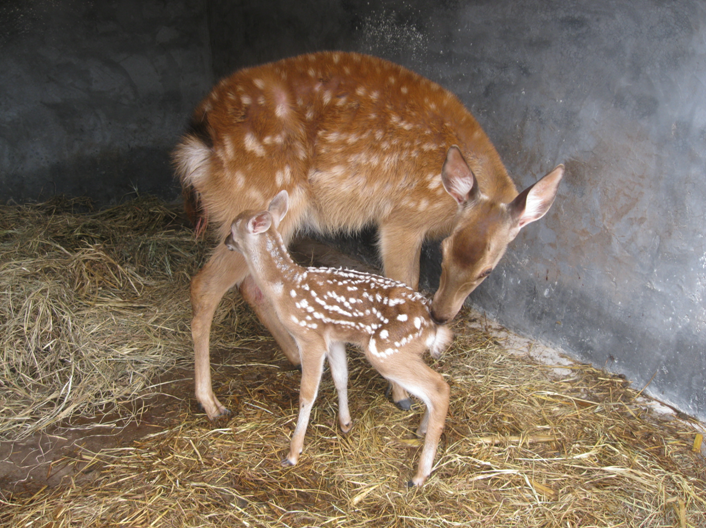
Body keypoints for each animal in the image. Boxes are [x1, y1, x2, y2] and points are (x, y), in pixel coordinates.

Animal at [173, 50, 564, 420]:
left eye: (487, 270)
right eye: (445, 250)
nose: (441, 315)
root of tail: (200, 142)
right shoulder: (402, 218)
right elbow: (405, 282)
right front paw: (400, 392)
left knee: (252, 285)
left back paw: (295, 356)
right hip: (256, 199)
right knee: (204, 285)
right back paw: (211, 403)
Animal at [226, 191, 448, 486]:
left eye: (233, 228)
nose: (225, 242)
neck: (284, 287)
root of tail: (431, 324)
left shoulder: (309, 337)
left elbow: (308, 393)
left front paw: (293, 453)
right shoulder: (334, 338)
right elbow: (341, 378)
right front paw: (345, 423)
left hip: (386, 351)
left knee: (439, 388)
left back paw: (419, 475)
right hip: (401, 352)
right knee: (434, 389)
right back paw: (421, 432)